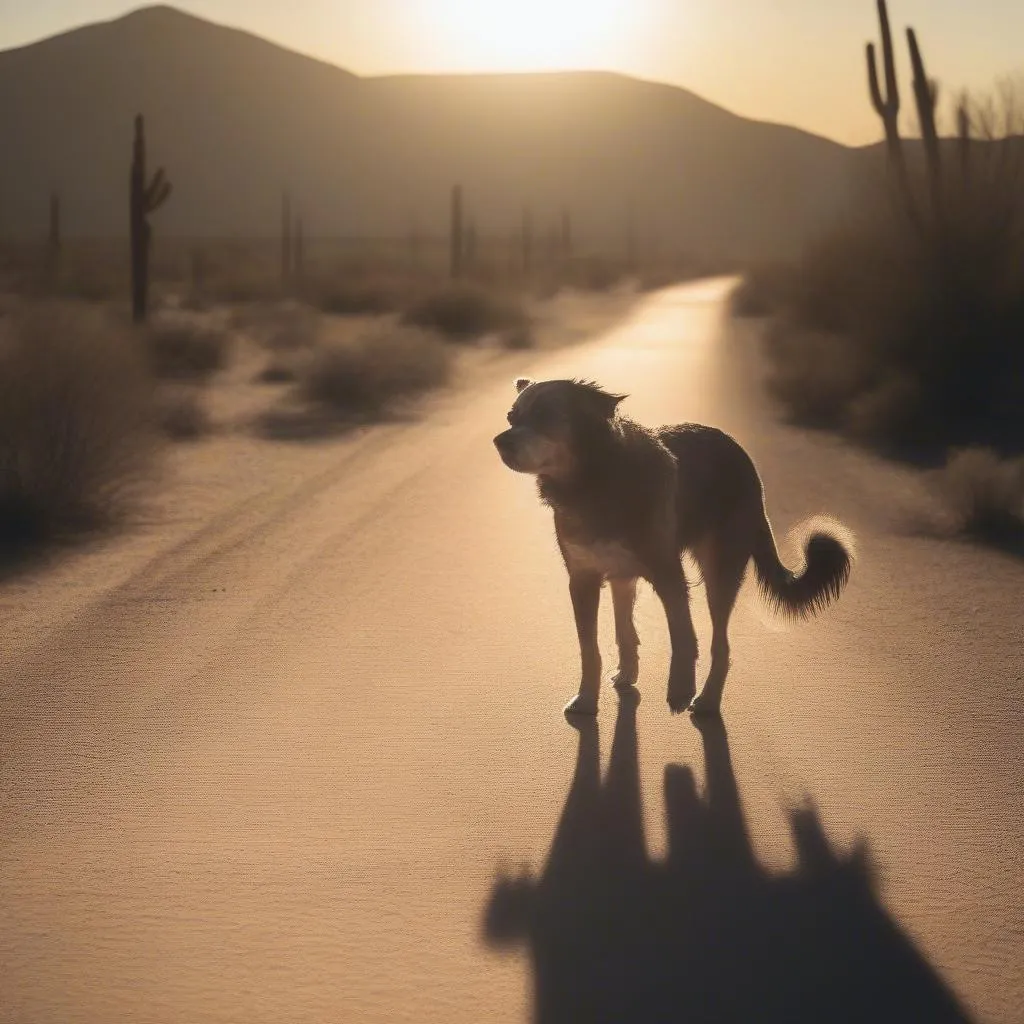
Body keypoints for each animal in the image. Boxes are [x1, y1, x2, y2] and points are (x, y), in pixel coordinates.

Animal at [491, 378, 851, 720]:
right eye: (511, 417)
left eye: (545, 416)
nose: (500, 442)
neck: (595, 481)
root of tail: (743, 457)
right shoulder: (583, 580)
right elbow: (591, 648)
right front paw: (586, 699)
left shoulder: (667, 574)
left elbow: (682, 635)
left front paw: (680, 689)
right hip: (626, 578)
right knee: (628, 629)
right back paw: (630, 674)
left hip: (719, 572)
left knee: (721, 646)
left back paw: (707, 700)